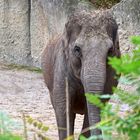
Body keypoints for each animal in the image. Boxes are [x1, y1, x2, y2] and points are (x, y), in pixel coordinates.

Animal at [41, 10, 120, 139]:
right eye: (77, 49)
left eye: (110, 51)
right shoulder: (62, 68)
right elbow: (63, 108)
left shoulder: (111, 75)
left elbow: (96, 106)